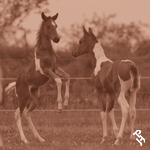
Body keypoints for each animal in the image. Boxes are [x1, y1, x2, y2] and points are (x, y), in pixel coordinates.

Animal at [5, 12, 69, 144]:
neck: (46, 52)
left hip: (35, 98)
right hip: (24, 97)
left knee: (27, 113)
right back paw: (25, 140)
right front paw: (59, 107)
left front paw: (66, 103)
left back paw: (39, 138)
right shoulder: (46, 71)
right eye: (48, 26)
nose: (57, 39)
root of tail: (17, 83)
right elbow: (59, 81)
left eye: (56, 25)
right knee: (17, 114)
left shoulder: (55, 69)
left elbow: (67, 77)